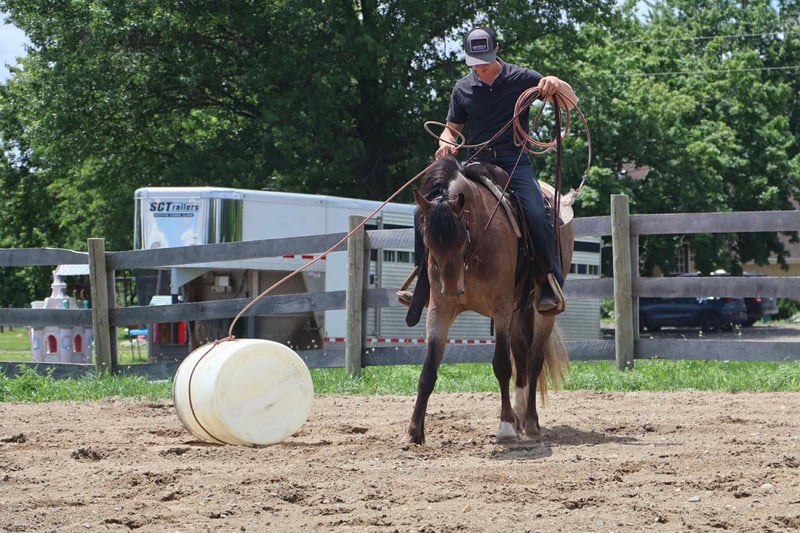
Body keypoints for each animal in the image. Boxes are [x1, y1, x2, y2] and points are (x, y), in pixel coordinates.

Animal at [404, 156, 574, 445]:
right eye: (426, 237)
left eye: (462, 235)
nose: (452, 289)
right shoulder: (440, 309)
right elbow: (428, 369)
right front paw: (414, 431)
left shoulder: (501, 307)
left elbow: (502, 365)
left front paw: (505, 426)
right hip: (518, 310)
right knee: (521, 355)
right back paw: (519, 417)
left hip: (540, 312)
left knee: (534, 359)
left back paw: (529, 421)